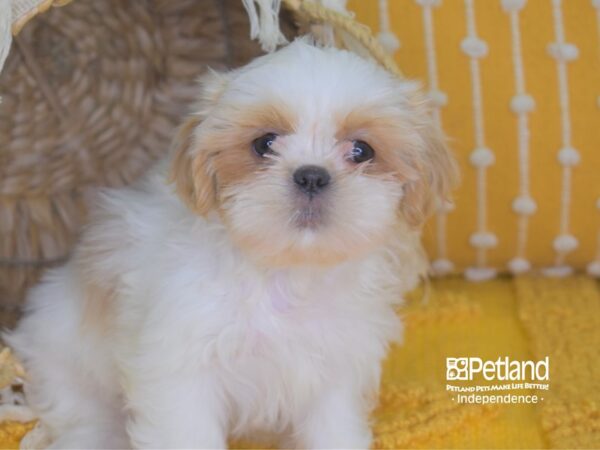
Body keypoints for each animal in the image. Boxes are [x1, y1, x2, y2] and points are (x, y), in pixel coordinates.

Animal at [7, 39, 454, 450]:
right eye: (265, 143)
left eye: (362, 151)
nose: (311, 175)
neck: (285, 274)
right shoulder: (180, 369)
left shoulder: (334, 370)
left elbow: (332, 430)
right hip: (69, 371)